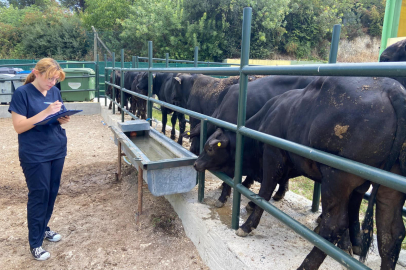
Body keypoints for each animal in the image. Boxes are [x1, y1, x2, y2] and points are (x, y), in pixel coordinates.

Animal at [193, 76, 406, 270]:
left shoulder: (273, 156)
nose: (195, 164)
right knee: (391, 235)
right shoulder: (359, 188)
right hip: (388, 189)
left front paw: (247, 222)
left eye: (209, 148)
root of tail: (392, 88)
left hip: (337, 178)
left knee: (335, 224)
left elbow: (265, 192)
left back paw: (306, 264)